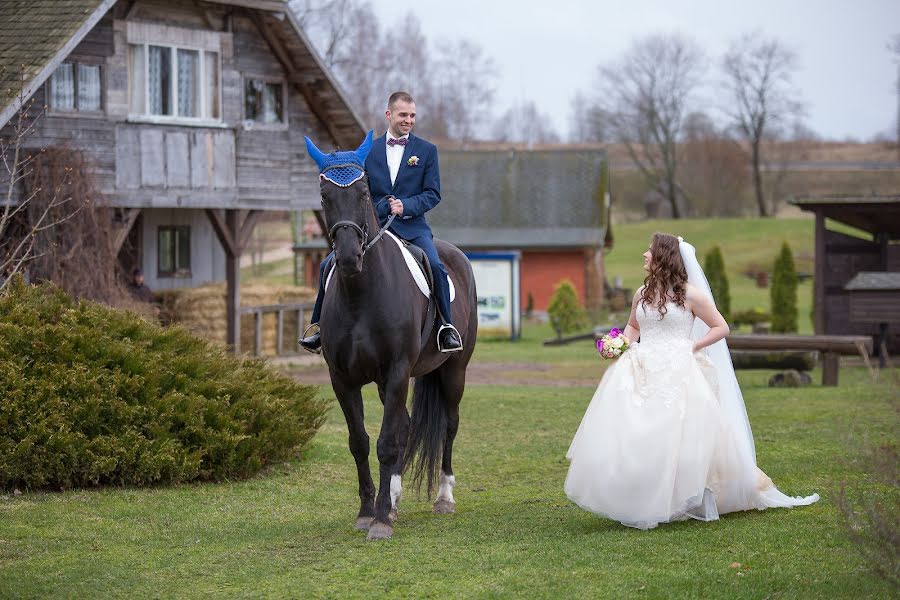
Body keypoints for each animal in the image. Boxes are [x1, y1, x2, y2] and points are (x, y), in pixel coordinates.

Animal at [306, 134, 478, 540]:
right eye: (324, 195)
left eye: (364, 192)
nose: (349, 257)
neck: (361, 292)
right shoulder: (342, 378)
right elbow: (360, 441)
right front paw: (369, 511)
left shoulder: (399, 370)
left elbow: (386, 443)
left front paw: (381, 520)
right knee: (406, 427)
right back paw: (396, 497)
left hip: (454, 371)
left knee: (448, 424)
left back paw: (444, 497)